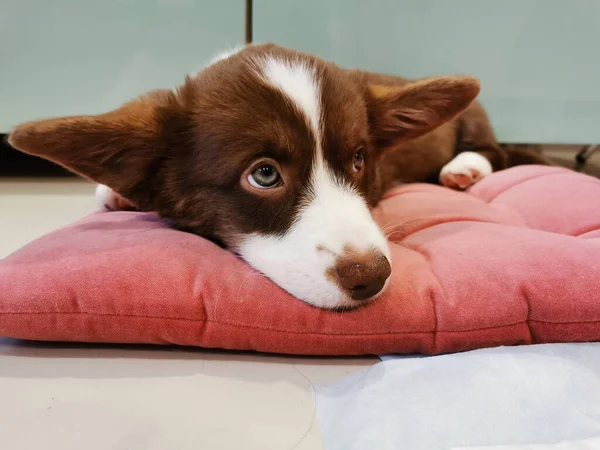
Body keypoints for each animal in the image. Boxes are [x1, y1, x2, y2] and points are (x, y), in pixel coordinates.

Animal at [8, 43, 552, 310]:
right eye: (264, 175)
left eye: (359, 160)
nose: (373, 278)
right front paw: (117, 193)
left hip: (475, 121)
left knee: (491, 148)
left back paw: (463, 168)